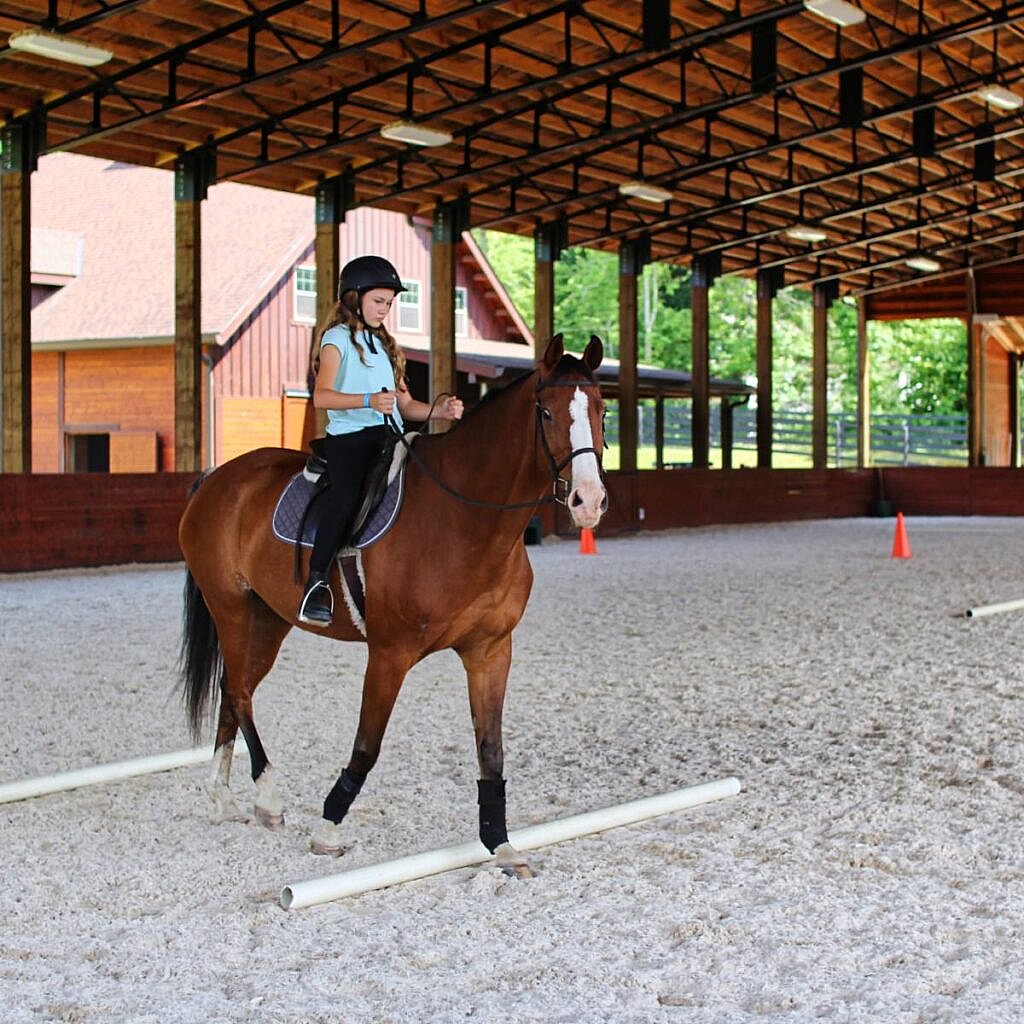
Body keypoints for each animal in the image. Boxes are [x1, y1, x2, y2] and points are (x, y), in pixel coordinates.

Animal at [177, 333, 608, 867]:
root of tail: (217, 478)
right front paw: (329, 827)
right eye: (546, 413)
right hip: (231, 608)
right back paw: (269, 794)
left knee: (234, 696)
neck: (463, 520)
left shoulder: (490, 650)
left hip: (269, 619)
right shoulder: (389, 654)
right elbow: (368, 745)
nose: (588, 502)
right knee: (237, 692)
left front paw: (500, 843)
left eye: (602, 410)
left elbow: (491, 748)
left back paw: (224, 797)